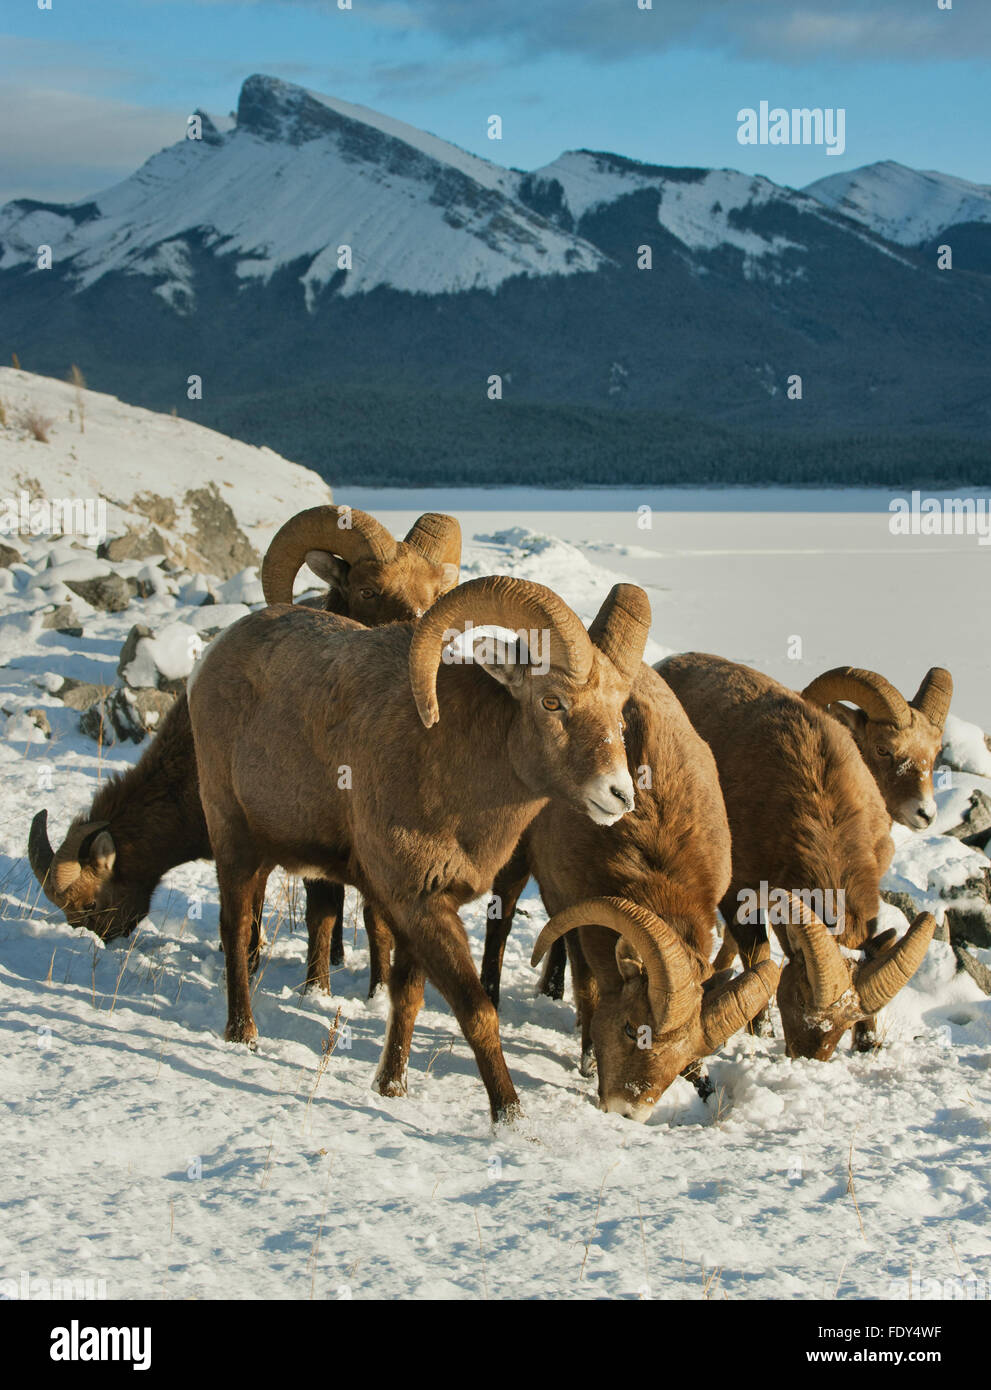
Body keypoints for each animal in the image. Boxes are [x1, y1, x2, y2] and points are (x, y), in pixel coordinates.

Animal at [29, 511, 461, 1000]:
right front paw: (283, 975)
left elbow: (367, 918)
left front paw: (368, 992)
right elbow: (289, 910)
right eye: (368, 590)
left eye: (435, 595)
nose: (100, 938)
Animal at [187, 575, 650, 1117]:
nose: (619, 795)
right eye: (552, 702)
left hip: (262, 855)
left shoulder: (412, 913)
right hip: (232, 839)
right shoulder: (421, 907)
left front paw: (391, 1087)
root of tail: (211, 657)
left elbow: (406, 998)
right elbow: (477, 1013)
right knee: (236, 929)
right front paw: (510, 1117)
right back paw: (243, 1034)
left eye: (618, 714)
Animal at [483, 661, 778, 1117]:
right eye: (627, 1028)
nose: (628, 1110)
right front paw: (588, 1060)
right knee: (501, 923)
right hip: (515, 863)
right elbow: (588, 986)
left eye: (683, 1056)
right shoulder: (580, 913)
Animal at [656, 656, 934, 1056]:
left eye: (847, 1020)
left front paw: (867, 1041)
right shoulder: (739, 896)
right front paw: (761, 1031)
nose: (808, 1056)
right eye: (801, 997)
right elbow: (757, 958)